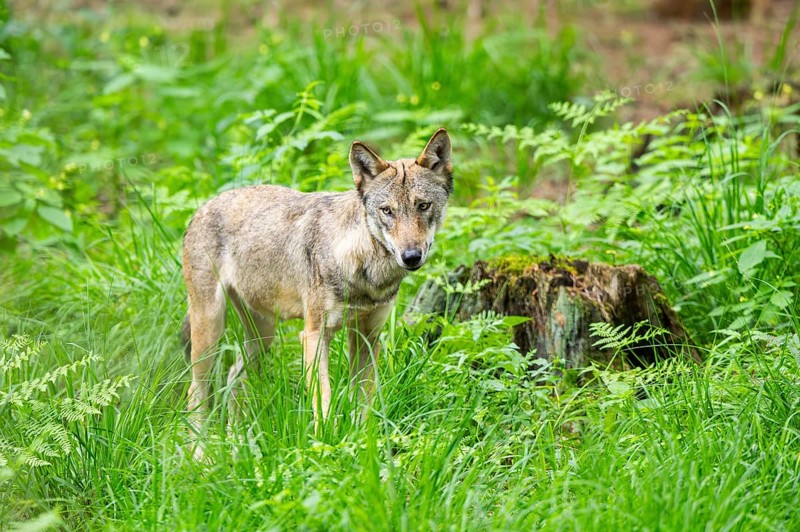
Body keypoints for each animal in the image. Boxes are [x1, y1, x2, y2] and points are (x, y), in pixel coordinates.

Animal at [181, 128, 453, 448]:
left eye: (423, 205)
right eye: (387, 211)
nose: (411, 256)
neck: (364, 269)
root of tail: (202, 207)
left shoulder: (367, 336)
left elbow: (364, 401)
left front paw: (363, 442)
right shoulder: (313, 334)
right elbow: (323, 398)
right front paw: (327, 444)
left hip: (262, 336)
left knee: (233, 377)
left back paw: (236, 438)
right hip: (210, 329)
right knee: (196, 391)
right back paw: (199, 452)